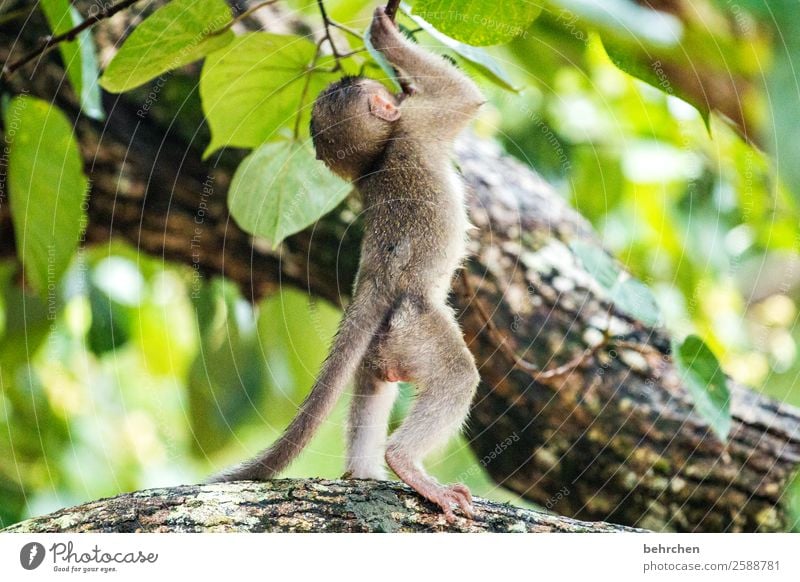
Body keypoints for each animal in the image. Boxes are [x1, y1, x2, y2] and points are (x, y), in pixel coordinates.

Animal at [209, 5, 484, 524]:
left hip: (386, 339)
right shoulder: (421, 121)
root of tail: (375, 285)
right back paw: (402, 461)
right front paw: (385, 33)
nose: (388, 89)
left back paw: (363, 473)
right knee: (458, 375)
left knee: (371, 382)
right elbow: (462, 96)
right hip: (416, 322)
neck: (375, 160)